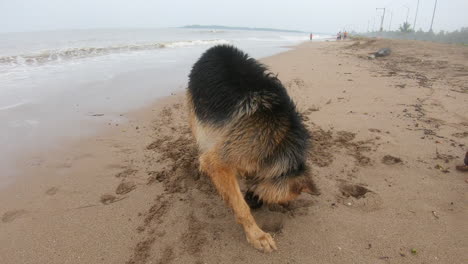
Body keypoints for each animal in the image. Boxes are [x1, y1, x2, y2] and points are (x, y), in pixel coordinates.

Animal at [186, 44, 318, 252]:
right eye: (283, 201)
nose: (256, 204)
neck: (279, 144)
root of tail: (217, 47)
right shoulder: (220, 160)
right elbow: (240, 206)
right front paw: (257, 235)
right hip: (198, 113)